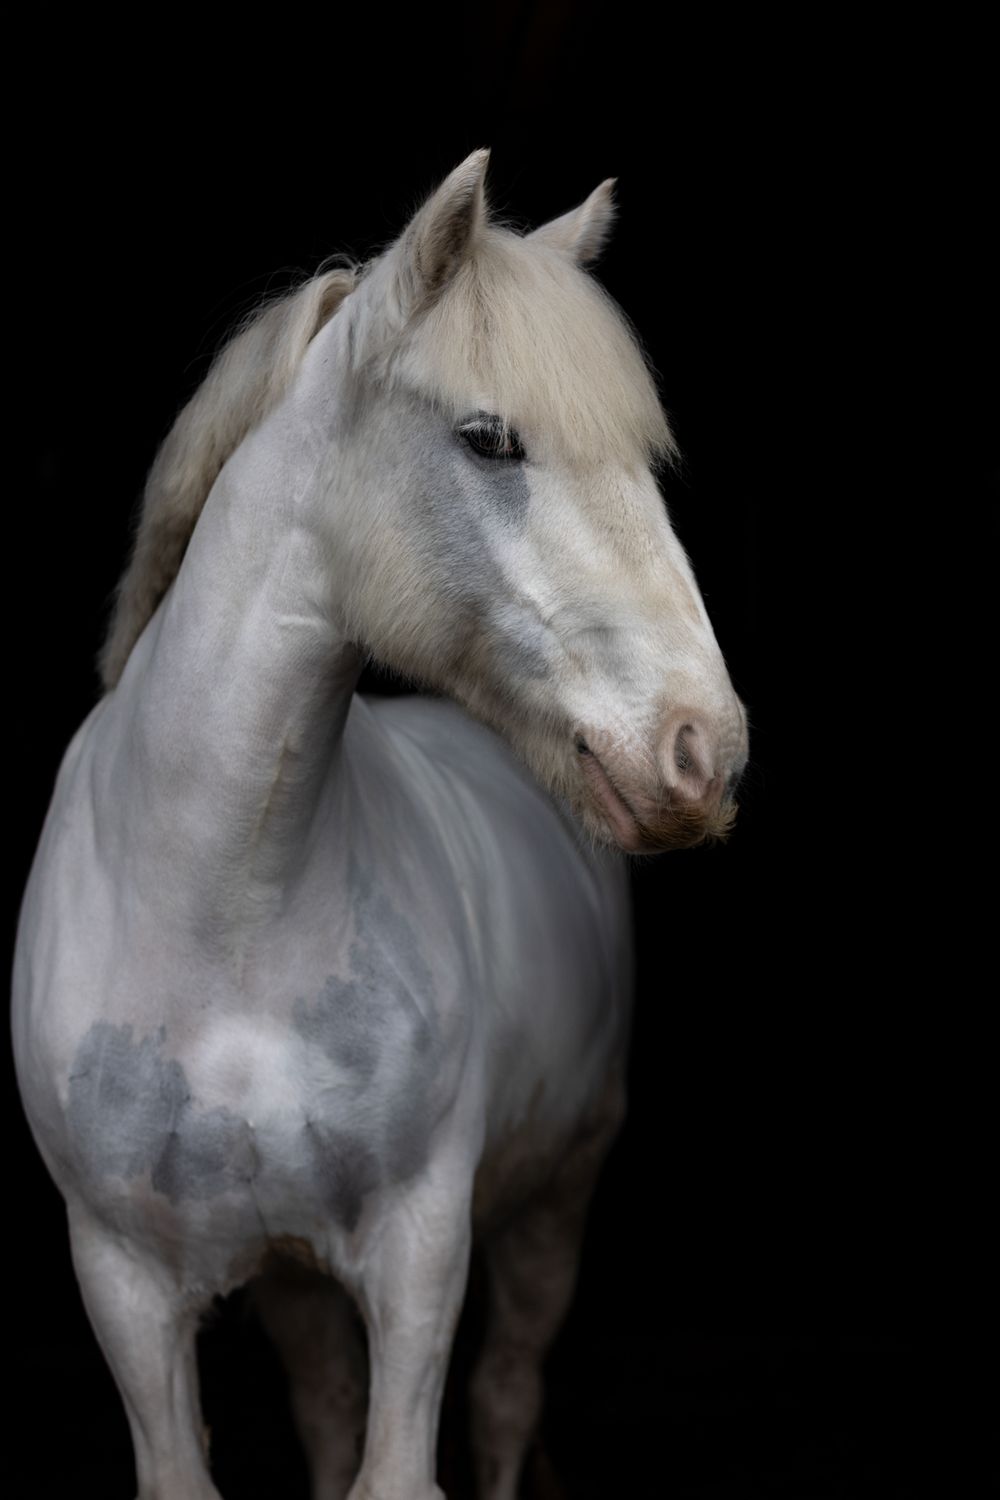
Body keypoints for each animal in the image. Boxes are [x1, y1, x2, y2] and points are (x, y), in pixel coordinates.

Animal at [13, 149, 748, 1500]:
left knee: (505, 1400)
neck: (227, 917)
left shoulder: (419, 1253)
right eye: (488, 437)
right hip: (297, 1285)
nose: (702, 751)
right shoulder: (126, 1285)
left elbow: (398, 1464)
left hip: (551, 1212)